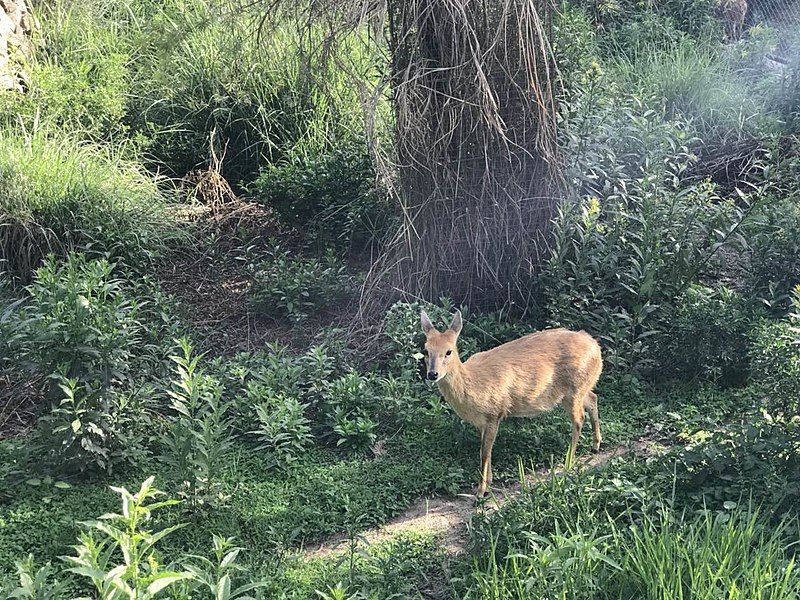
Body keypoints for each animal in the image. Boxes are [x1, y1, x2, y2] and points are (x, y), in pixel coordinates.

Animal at [422, 310, 604, 496]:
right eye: (426, 350)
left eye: (449, 351)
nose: (432, 374)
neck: (473, 384)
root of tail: (595, 346)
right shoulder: (481, 421)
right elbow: (485, 450)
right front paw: (489, 482)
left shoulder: (494, 413)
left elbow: (484, 453)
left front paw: (481, 491)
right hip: (579, 388)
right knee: (593, 398)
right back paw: (595, 445)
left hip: (573, 389)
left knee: (579, 418)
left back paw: (569, 462)